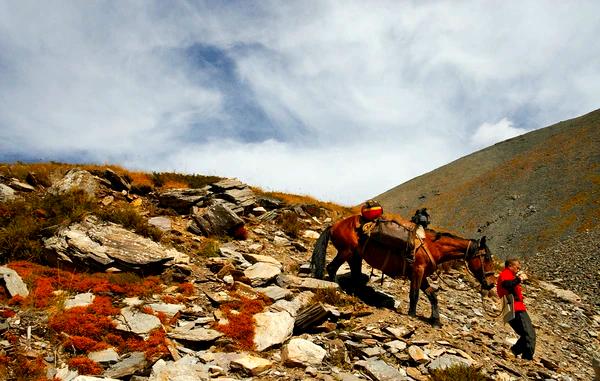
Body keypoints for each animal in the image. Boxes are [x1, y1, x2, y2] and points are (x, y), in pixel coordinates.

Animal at [310, 215, 496, 326]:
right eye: (487, 258)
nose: (491, 284)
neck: (433, 246)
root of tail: (334, 225)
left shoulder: (422, 275)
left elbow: (432, 295)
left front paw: (435, 320)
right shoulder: (417, 271)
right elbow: (415, 294)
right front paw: (412, 314)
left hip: (355, 257)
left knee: (354, 276)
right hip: (346, 252)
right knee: (331, 268)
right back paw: (338, 288)